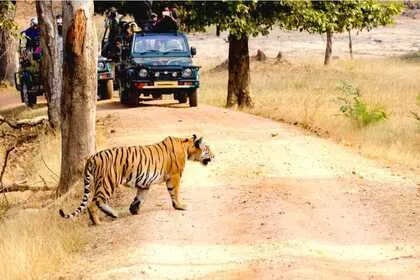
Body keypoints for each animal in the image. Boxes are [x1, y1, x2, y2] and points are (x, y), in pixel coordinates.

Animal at [59, 134, 213, 225]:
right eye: (207, 149)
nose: (214, 156)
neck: (186, 146)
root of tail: (92, 157)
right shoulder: (174, 176)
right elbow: (175, 192)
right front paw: (180, 206)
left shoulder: (144, 183)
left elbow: (140, 197)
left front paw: (133, 209)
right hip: (107, 183)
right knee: (94, 203)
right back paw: (98, 222)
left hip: (106, 184)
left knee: (99, 202)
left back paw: (114, 214)